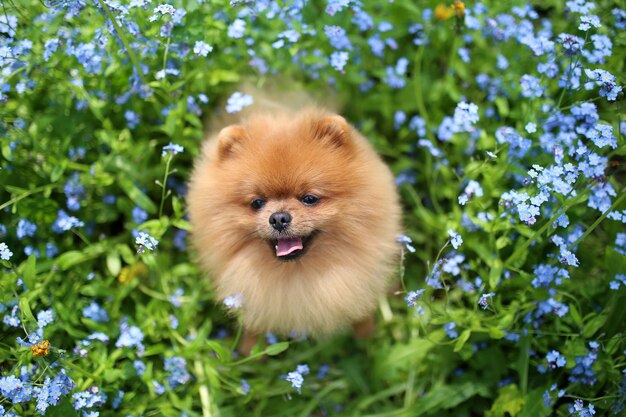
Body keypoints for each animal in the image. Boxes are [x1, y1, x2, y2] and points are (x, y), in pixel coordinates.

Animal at [185, 94, 400, 348]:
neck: (296, 277)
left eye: (309, 199)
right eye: (257, 203)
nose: (278, 218)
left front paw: (367, 342)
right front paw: (249, 351)